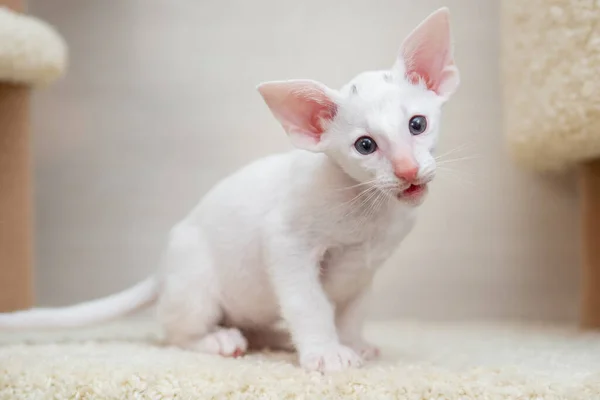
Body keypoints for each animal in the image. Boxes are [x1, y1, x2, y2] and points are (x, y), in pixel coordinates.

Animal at [0, 8, 460, 372]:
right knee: (173, 331)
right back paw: (219, 340)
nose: (407, 170)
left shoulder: (365, 270)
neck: (373, 210)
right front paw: (327, 353)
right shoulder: (286, 243)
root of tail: (162, 268)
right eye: (365, 146)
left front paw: (352, 343)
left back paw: (277, 338)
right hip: (197, 286)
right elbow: (309, 304)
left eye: (417, 124)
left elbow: (350, 311)